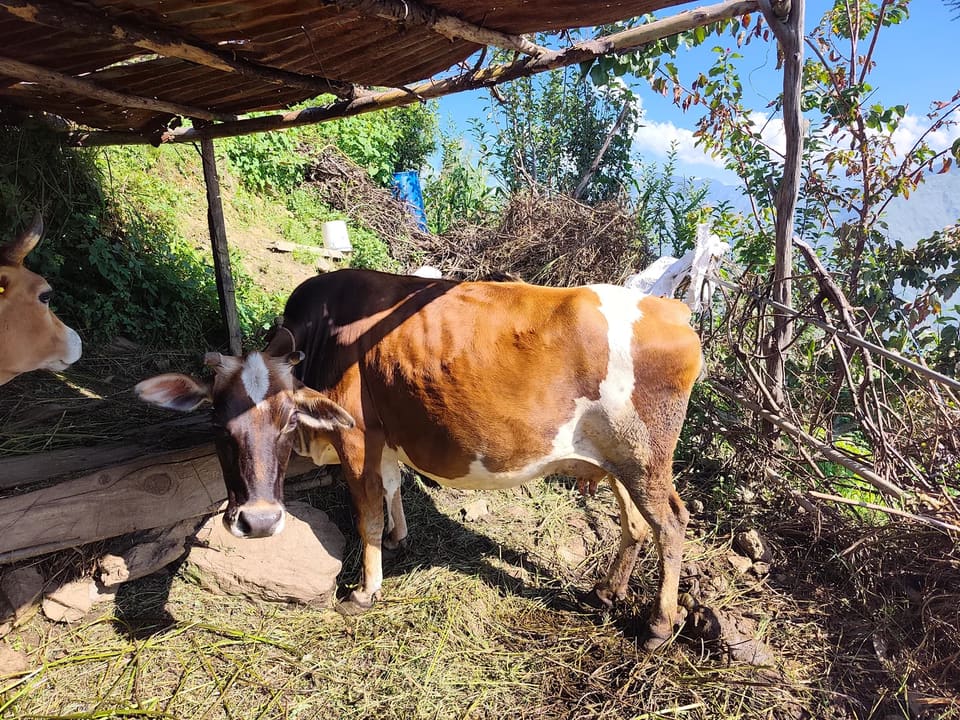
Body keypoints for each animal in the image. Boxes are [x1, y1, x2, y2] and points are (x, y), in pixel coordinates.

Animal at [135, 268, 702, 649]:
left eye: (289, 420)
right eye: (217, 422)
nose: (257, 521)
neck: (323, 337)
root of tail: (673, 310)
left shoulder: (358, 437)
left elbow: (365, 512)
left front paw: (365, 591)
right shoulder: (385, 435)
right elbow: (391, 488)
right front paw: (397, 537)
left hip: (644, 459)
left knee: (671, 524)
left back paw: (656, 626)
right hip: (618, 461)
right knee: (635, 524)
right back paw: (604, 593)